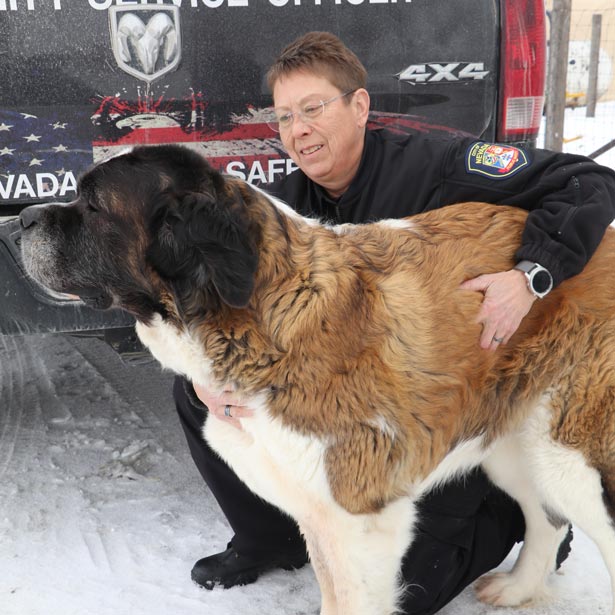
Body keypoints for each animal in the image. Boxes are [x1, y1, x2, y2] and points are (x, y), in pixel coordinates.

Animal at [19, 144, 615, 615]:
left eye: (94, 206)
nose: (22, 218)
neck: (264, 314)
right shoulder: (318, 508)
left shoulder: (360, 519)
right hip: (518, 443)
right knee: (547, 518)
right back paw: (515, 590)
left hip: (576, 455)